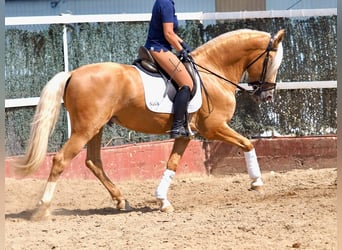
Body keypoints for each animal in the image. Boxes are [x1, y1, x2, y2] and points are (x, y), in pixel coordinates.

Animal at [13, 27, 284, 219]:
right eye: (272, 62)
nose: (267, 96)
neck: (212, 72)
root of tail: (72, 73)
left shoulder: (186, 134)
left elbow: (172, 163)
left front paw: (162, 200)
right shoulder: (214, 127)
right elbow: (248, 143)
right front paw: (257, 182)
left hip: (95, 128)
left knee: (93, 161)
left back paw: (121, 200)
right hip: (85, 129)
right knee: (61, 160)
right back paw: (44, 207)